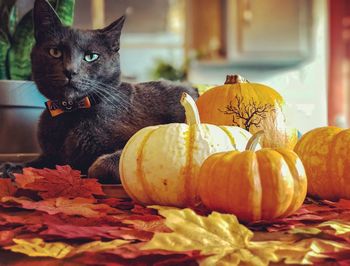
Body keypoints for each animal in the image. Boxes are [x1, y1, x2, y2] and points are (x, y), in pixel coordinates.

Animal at [0, 0, 198, 183]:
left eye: (91, 57)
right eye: (55, 52)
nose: (70, 71)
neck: (71, 114)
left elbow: (112, 161)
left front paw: (94, 169)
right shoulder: (50, 155)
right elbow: (39, 162)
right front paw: (11, 167)